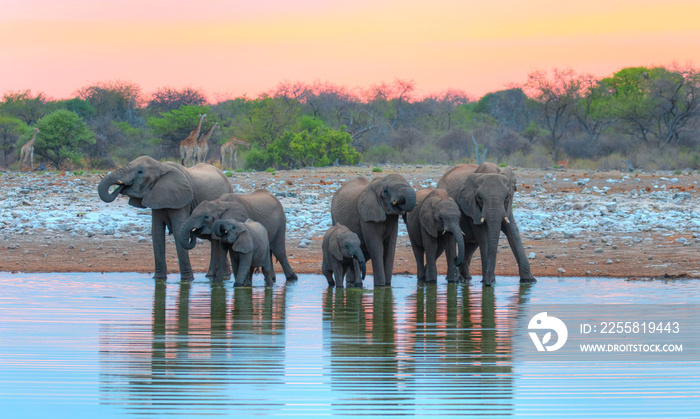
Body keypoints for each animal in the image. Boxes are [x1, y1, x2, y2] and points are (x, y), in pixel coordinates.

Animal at [98, 156, 232, 280]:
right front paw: (158, 279)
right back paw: (218, 276)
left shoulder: (182, 200)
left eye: (140, 172)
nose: (121, 187)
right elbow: (156, 233)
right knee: (214, 240)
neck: (161, 167)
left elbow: (178, 231)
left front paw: (187, 280)